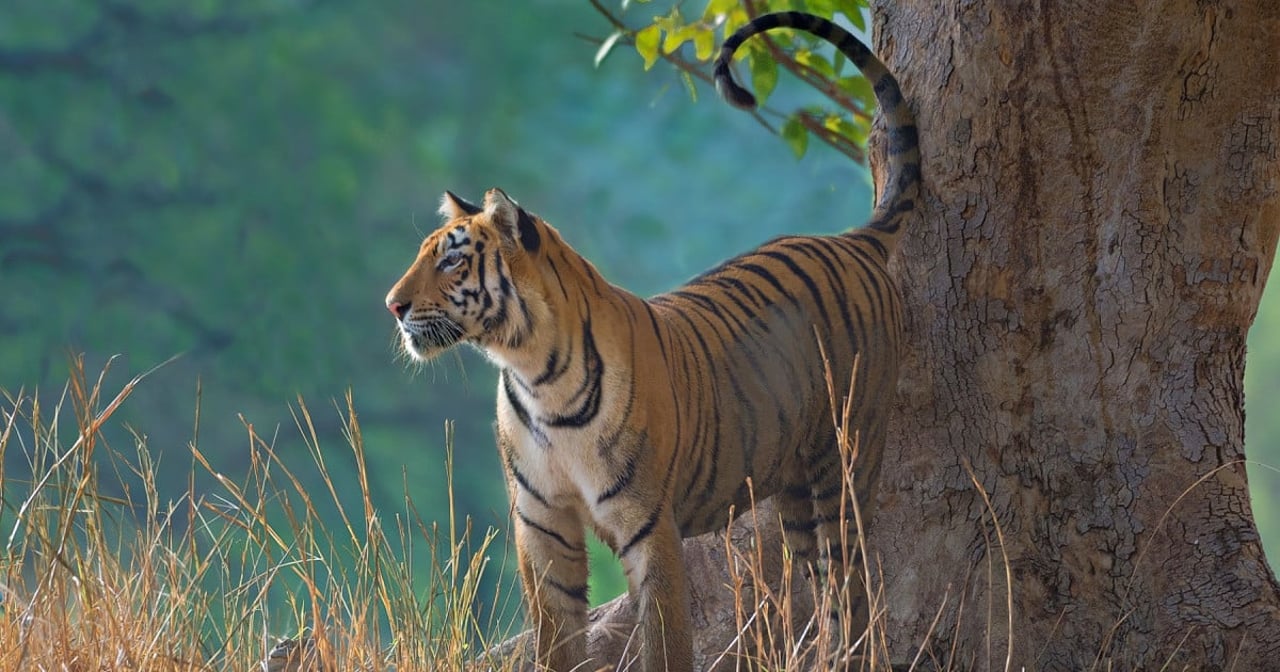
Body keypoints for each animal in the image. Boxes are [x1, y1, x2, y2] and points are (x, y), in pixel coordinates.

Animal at [381, 10, 921, 670]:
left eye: (453, 261)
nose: (393, 305)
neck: (531, 369)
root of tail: (849, 239)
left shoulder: (648, 524)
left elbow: (665, 640)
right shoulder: (542, 527)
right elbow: (555, 641)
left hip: (846, 458)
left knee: (854, 579)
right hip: (793, 481)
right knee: (821, 581)